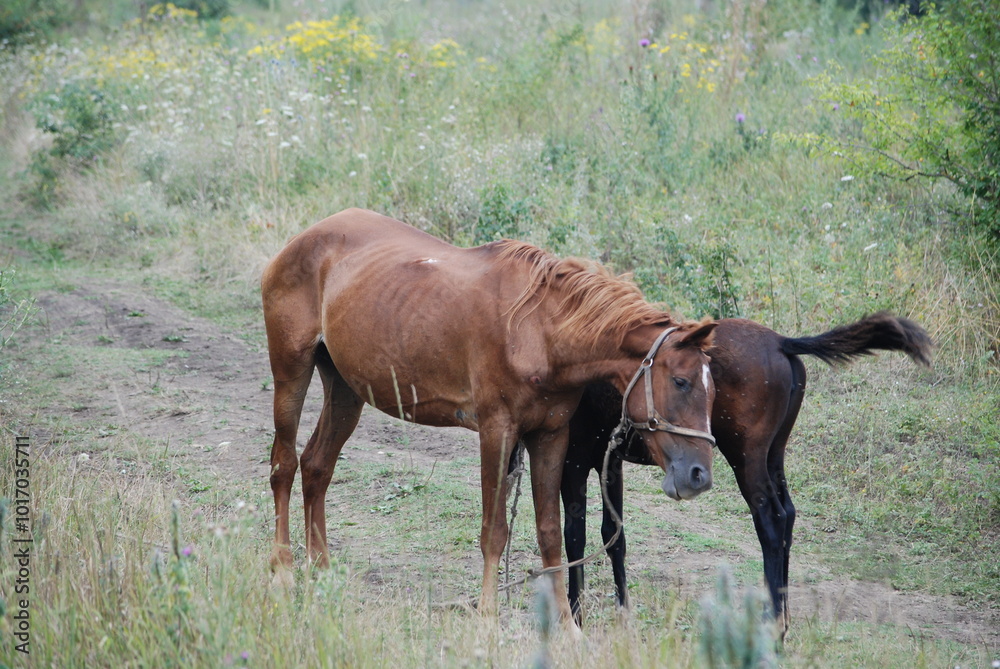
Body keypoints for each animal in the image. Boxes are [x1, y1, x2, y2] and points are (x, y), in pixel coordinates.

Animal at [260, 208, 719, 624]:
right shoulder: (496, 432)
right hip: (291, 372)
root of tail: (301, 240)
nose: (699, 476)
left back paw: (322, 573)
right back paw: (283, 571)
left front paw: (567, 628)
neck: (539, 331)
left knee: (317, 467)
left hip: (346, 390)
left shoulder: (551, 436)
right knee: (284, 466)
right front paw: (487, 617)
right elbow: (494, 531)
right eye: (681, 381)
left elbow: (550, 533)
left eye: (713, 390)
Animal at [559, 314, 932, 629]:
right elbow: (613, 535)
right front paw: (623, 614)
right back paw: (784, 614)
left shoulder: (574, 461)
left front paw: (576, 616)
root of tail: (782, 342)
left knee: (772, 519)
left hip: (746, 457)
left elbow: (575, 537)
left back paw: (772, 623)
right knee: (789, 515)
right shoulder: (608, 462)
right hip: (773, 453)